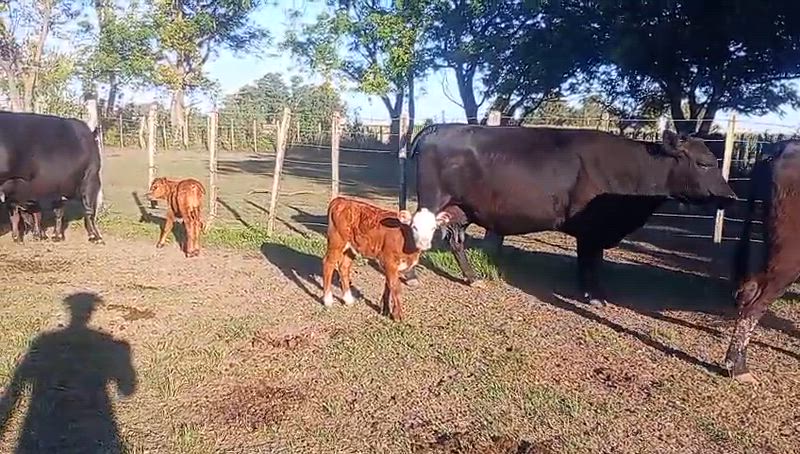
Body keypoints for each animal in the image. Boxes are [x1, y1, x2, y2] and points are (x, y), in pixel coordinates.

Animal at [0, 111, 104, 244]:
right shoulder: (91, 177)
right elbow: (89, 210)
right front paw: (95, 236)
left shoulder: (56, 187)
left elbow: (57, 211)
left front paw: (55, 235)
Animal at [406, 124, 737, 306]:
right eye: (705, 163)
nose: (731, 197)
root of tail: (438, 127)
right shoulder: (593, 227)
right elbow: (592, 260)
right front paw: (595, 295)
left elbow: (589, 261)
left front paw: (589, 290)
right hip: (432, 200)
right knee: (414, 231)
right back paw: (410, 276)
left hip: (459, 209)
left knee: (455, 241)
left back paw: (473, 279)